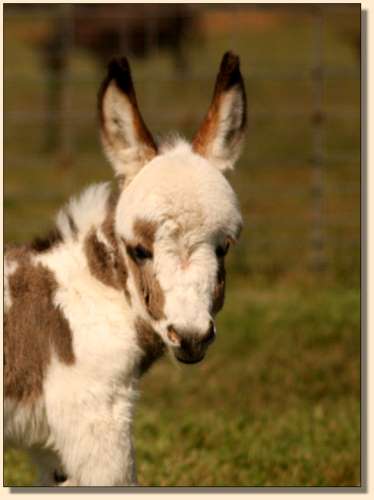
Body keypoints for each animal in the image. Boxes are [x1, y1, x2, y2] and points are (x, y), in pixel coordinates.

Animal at [5, 52, 248, 486]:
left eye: (224, 246)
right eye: (139, 250)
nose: (191, 338)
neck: (87, 300)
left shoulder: (55, 451)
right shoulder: (95, 421)